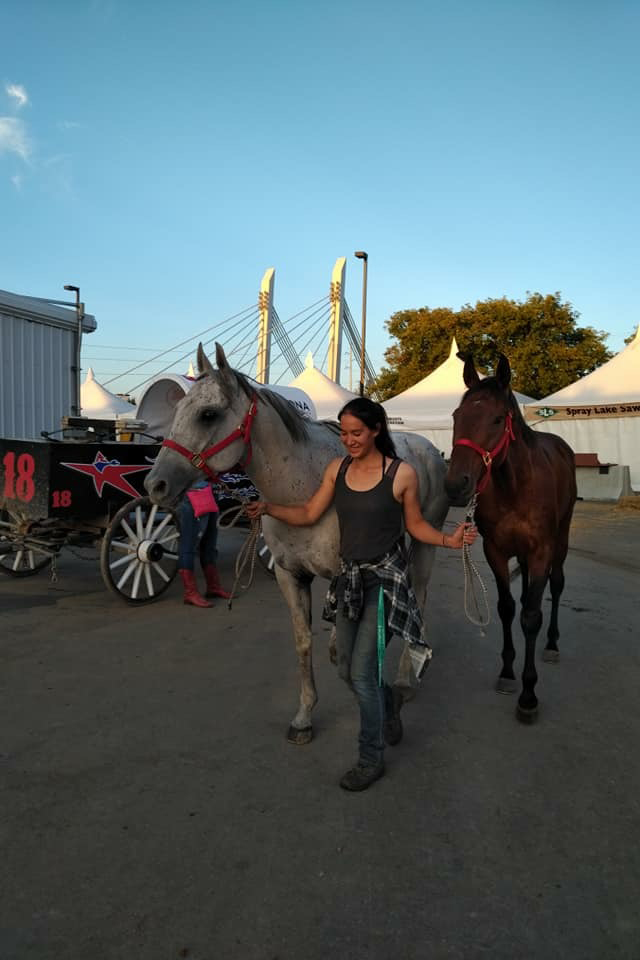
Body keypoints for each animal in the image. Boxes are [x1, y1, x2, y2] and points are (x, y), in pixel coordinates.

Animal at [144, 344, 450, 744]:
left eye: (208, 414)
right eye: (178, 409)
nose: (155, 485)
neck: (304, 484)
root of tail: (428, 447)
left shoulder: (347, 577)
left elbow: (348, 650)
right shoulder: (290, 577)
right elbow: (305, 642)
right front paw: (304, 716)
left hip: (426, 545)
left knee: (420, 601)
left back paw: (404, 681)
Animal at [444, 358, 576, 720]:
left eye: (497, 418)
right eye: (456, 416)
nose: (456, 484)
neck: (515, 486)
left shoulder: (542, 551)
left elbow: (531, 616)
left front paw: (528, 694)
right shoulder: (496, 551)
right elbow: (506, 608)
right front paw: (507, 672)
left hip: (561, 541)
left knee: (557, 585)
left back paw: (553, 644)